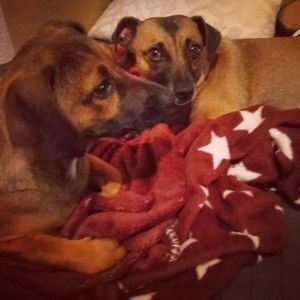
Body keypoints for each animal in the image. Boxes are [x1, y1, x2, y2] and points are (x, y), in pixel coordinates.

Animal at [0, 21, 188, 274]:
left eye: (113, 57)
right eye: (101, 88)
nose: (174, 97)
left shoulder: (86, 157)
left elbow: (113, 171)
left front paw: (113, 196)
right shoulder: (8, 241)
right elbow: (42, 246)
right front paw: (98, 253)